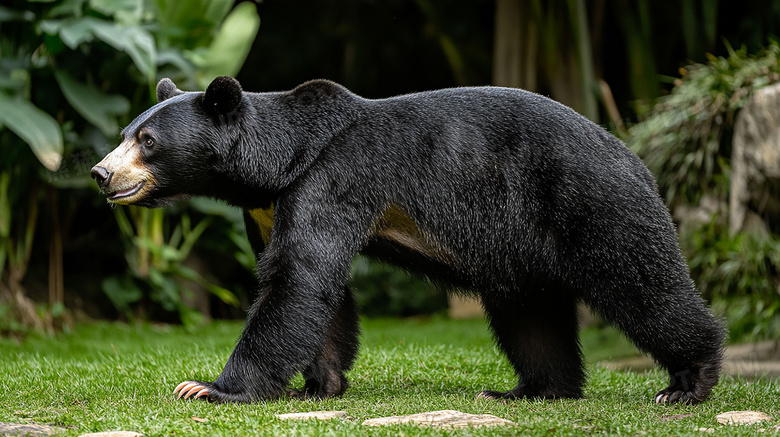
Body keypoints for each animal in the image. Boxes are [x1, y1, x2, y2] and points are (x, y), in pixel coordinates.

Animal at [91, 76, 724, 406]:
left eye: (147, 141)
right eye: (126, 132)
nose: (101, 173)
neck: (280, 164)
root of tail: (635, 154)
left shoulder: (338, 175)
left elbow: (297, 279)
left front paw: (208, 388)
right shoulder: (269, 206)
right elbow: (318, 290)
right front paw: (320, 386)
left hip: (589, 200)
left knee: (641, 283)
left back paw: (687, 382)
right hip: (520, 245)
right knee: (531, 315)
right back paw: (532, 390)